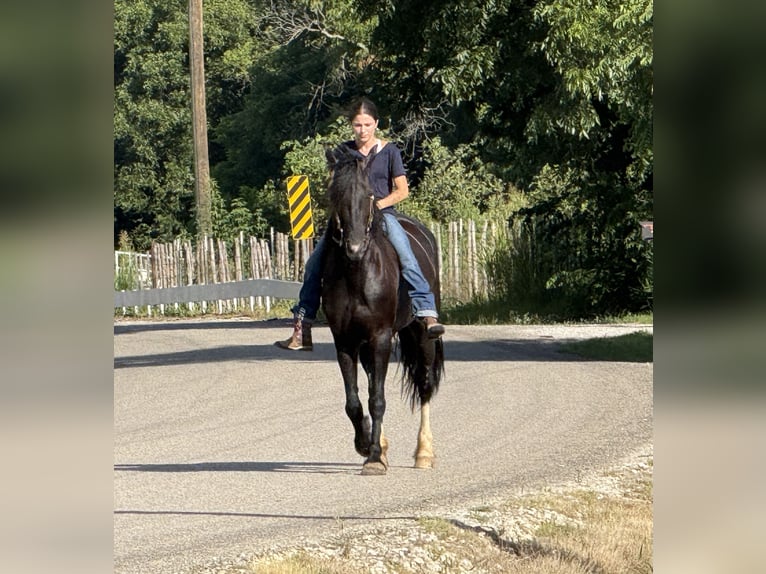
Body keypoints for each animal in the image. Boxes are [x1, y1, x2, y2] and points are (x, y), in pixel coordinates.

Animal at [320, 145, 445, 476]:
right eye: (334, 194)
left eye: (368, 195)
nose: (354, 248)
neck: (357, 273)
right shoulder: (346, 342)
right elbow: (354, 401)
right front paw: (367, 445)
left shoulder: (381, 337)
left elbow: (377, 399)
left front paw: (374, 457)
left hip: (421, 335)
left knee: (425, 384)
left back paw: (424, 453)